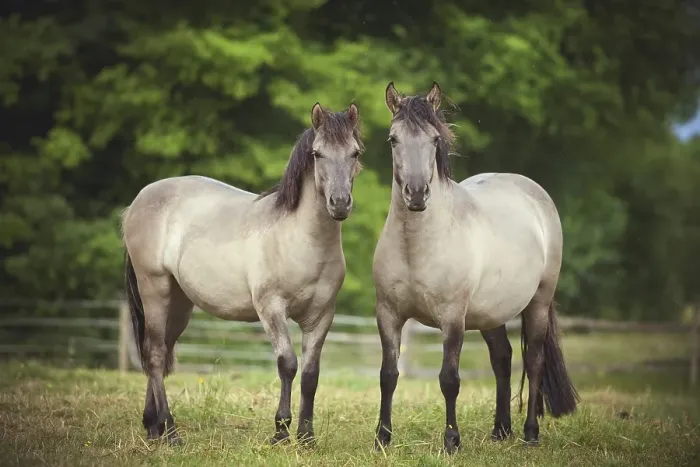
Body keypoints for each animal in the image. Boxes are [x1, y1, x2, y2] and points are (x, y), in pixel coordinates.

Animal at [121, 102, 364, 446]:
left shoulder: (321, 315)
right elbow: (287, 364)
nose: (340, 203)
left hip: (179, 303)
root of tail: (138, 202)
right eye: (317, 154)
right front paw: (281, 431)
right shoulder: (271, 308)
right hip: (154, 289)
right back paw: (170, 431)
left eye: (354, 153)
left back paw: (152, 426)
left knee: (161, 350)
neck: (300, 239)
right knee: (154, 354)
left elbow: (310, 373)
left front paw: (306, 436)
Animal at [372, 82, 579, 454]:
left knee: (534, 360)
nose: (416, 194)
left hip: (538, 303)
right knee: (502, 358)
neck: (416, 246)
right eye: (393, 139)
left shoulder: (453, 318)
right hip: (490, 314)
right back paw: (500, 430)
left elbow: (449, 379)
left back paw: (529, 433)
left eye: (434, 140)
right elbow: (388, 375)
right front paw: (382, 438)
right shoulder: (388, 314)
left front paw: (452, 441)